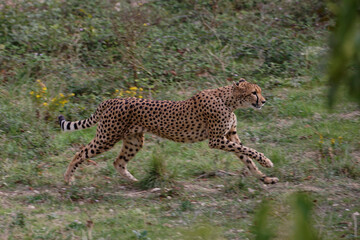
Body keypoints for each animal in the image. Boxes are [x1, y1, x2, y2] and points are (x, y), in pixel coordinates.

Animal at [58, 79, 278, 185]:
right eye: (254, 92)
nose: (264, 101)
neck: (229, 100)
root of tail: (112, 99)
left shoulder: (230, 135)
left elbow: (246, 156)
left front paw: (265, 178)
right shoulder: (216, 140)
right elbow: (250, 151)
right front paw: (267, 162)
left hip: (134, 140)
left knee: (118, 162)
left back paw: (135, 181)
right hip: (107, 137)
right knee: (81, 152)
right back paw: (68, 179)